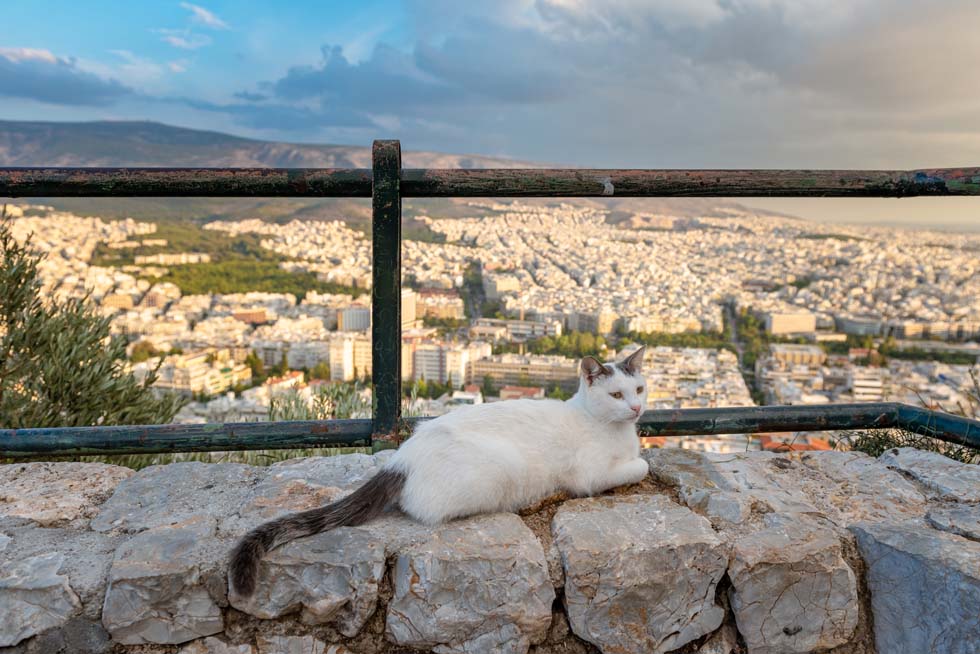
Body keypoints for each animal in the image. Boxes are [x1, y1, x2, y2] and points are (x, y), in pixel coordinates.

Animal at [228, 348, 644, 600]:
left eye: (639, 388)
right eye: (616, 396)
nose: (638, 408)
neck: (610, 427)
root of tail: (404, 457)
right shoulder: (591, 474)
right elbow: (639, 465)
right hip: (498, 471)